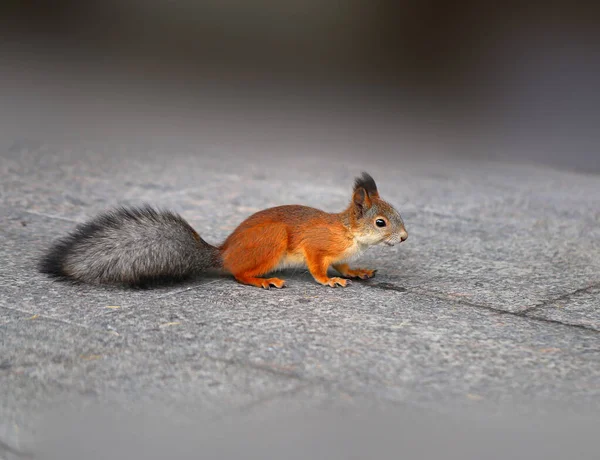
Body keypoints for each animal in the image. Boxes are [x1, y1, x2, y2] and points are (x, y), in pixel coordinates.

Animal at [38, 172, 408, 288]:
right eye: (381, 222)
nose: (404, 237)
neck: (349, 233)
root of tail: (223, 254)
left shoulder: (341, 253)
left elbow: (344, 264)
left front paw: (357, 272)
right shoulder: (317, 246)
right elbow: (318, 265)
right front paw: (329, 280)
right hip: (272, 241)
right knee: (238, 273)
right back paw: (262, 280)